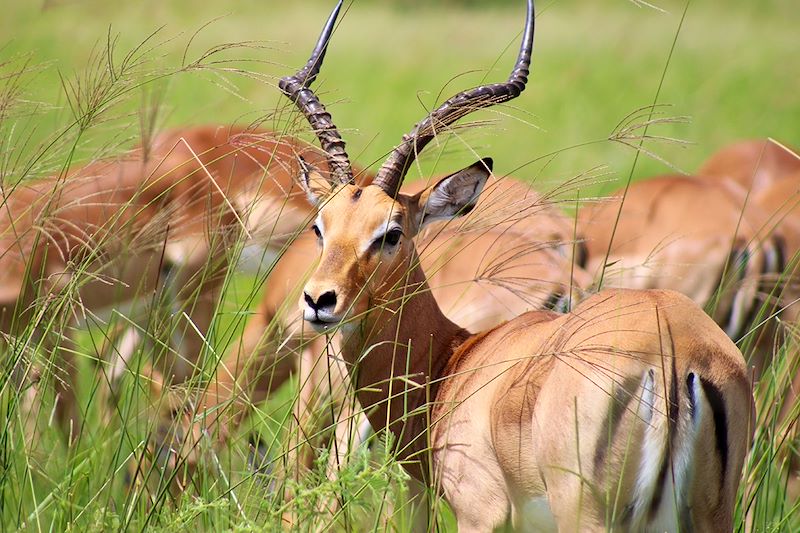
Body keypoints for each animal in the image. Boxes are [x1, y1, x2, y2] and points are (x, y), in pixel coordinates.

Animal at [214, 1, 756, 528]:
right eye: (320, 226)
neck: (453, 364)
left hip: (587, 514)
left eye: (391, 232)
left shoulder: (479, 513)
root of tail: (676, 355)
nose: (318, 300)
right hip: (709, 516)